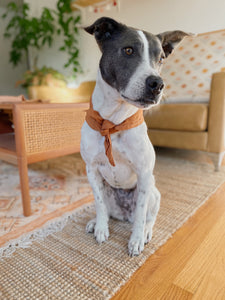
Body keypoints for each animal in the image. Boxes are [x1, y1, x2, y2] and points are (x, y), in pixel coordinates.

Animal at [80, 17, 189, 255]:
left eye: (160, 59)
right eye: (128, 50)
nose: (158, 84)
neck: (113, 122)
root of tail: (123, 215)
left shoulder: (144, 174)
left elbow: (141, 213)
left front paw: (136, 239)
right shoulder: (91, 170)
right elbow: (99, 205)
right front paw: (100, 227)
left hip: (154, 192)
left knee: (148, 216)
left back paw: (146, 231)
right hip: (107, 189)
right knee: (107, 209)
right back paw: (95, 222)